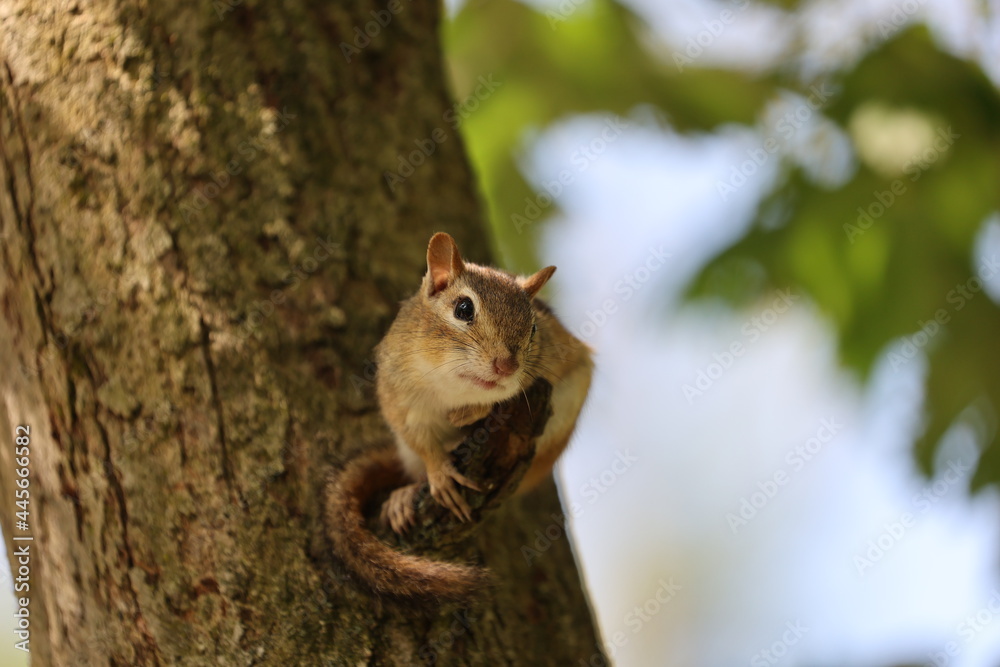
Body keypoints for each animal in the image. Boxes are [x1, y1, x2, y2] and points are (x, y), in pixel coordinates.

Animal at [325, 232, 593, 598]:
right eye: (463, 309)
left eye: (535, 328)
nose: (507, 366)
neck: (452, 387)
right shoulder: (398, 396)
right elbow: (419, 439)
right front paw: (440, 472)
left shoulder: (564, 365)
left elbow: (501, 396)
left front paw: (468, 414)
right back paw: (404, 496)